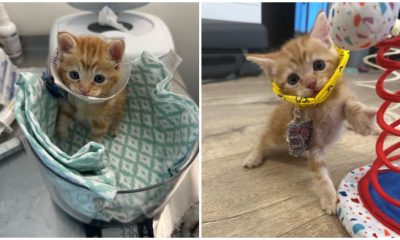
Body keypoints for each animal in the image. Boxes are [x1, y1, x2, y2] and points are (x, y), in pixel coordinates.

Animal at [242, 13, 376, 214]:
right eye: (293, 79)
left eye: (319, 65)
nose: (312, 83)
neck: (323, 103)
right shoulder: (315, 148)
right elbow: (320, 176)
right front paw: (329, 198)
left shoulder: (343, 98)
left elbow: (350, 105)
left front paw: (362, 121)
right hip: (276, 137)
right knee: (262, 139)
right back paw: (253, 157)